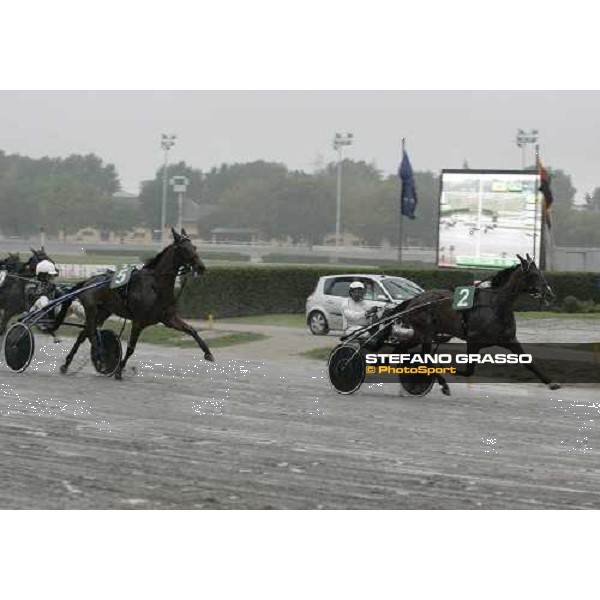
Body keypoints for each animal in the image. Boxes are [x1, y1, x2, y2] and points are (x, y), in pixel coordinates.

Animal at [55, 229, 216, 380]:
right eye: (183, 248)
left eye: (194, 247)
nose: (201, 267)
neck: (155, 286)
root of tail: (88, 281)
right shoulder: (138, 321)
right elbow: (131, 347)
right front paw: (119, 371)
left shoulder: (168, 318)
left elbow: (191, 330)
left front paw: (208, 353)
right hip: (92, 309)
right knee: (91, 334)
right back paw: (99, 359)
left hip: (103, 312)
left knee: (84, 334)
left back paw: (67, 364)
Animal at [382, 252, 560, 390]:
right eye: (534, 275)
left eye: (540, 273)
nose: (550, 293)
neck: (496, 306)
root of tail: (415, 299)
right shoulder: (473, 341)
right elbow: (468, 371)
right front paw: (442, 370)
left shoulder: (509, 339)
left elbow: (529, 362)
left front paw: (551, 382)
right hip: (425, 333)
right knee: (425, 357)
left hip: (418, 335)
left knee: (398, 351)